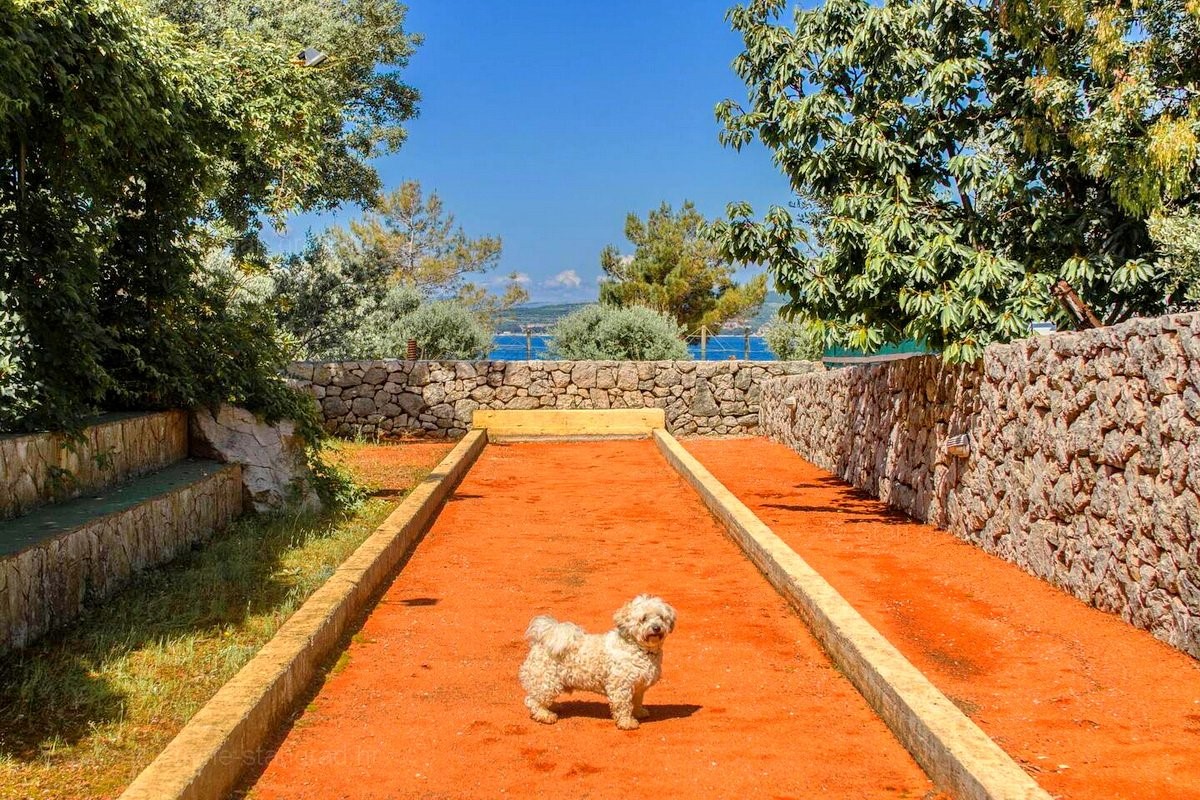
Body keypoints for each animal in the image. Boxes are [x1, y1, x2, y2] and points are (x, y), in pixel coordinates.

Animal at [516, 594, 676, 734]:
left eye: (661, 617)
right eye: (643, 619)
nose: (656, 628)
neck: (639, 649)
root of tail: (540, 642)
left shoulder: (638, 686)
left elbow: (636, 701)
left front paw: (639, 712)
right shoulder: (621, 687)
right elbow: (623, 706)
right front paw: (627, 722)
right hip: (547, 681)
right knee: (532, 700)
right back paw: (545, 715)